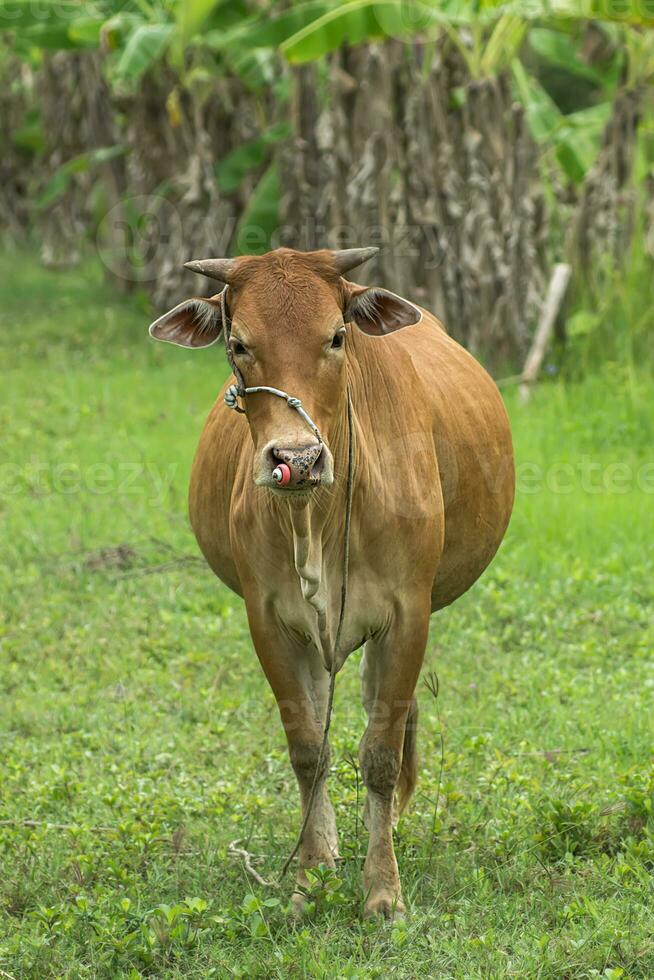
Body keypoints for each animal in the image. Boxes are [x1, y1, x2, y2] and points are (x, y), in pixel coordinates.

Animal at [151, 245, 516, 920]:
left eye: (337, 336)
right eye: (238, 344)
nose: (296, 458)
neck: (315, 518)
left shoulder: (407, 614)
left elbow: (378, 752)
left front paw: (383, 892)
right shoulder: (270, 621)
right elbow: (307, 749)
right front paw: (311, 877)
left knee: (385, 717)